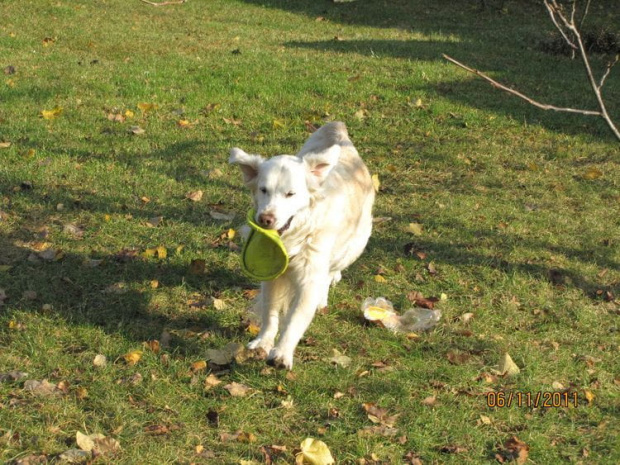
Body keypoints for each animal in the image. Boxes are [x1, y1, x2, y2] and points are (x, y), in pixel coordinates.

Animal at [228, 121, 372, 368]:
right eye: (263, 190)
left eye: (290, 194)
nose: (265, 219)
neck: (296, 236)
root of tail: (338, 128)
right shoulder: (272, 277)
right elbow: (270, 312)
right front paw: (263, 342)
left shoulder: (309, 276)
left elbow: (295, 318)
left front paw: (282, 353)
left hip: (353, 246)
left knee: (331, 272)